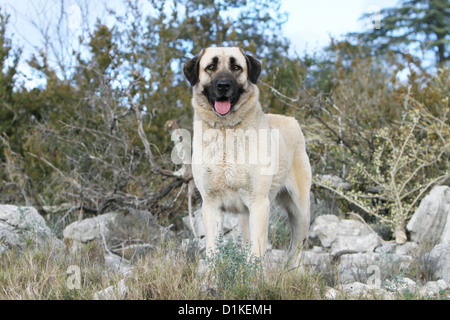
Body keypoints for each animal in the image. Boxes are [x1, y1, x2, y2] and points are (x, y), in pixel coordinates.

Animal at [182, 47, 310, 258]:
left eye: (236, 67)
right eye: (211, 67)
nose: (223, 85)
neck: (226, 131)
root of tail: (292, 120)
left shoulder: (259, 203)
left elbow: (256, 253)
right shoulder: (211, 205)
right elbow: (212, 251)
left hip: (300, 212)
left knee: (295, 251)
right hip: (245, 216)